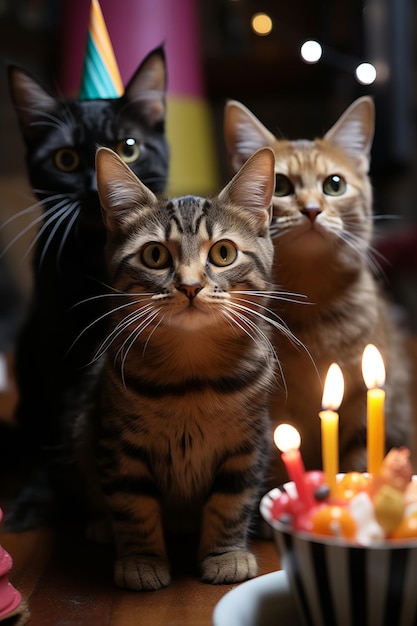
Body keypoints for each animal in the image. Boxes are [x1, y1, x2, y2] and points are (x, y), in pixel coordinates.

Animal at [4, 45, 167, 528]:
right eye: (66, 160)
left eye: (129, 148)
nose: (100, 189)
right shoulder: (55, 347)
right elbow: (57, 427)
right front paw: (39, 497)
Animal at [75, 144, 276, 588]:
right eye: (155, 255)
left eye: (223, 252)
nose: (189, 285)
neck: (191, 375)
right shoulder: (118, 442)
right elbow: (132, 504)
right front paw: (142, 559)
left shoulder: (248, 444)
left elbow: (231, 500)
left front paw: (226, 554)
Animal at [224, 98, 410, 488]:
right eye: (280, 185)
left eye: (334, 185)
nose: (311, 209)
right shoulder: (273, 417)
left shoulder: (361, 404)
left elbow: (356, 460)